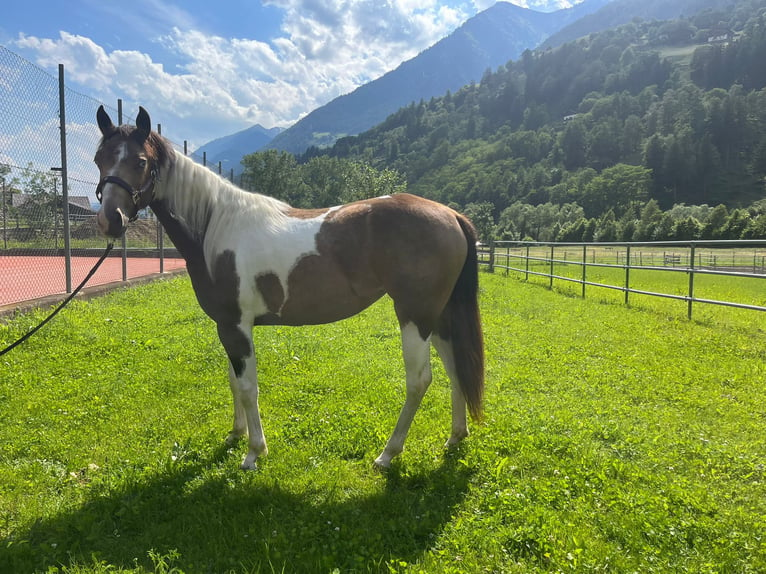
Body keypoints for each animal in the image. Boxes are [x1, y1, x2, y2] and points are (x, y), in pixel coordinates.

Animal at [93, 106, 484, 470]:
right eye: (100, 159)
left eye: (140, 161)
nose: (110, 220)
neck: (217, 226)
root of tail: (451, 215)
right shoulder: (227, 328)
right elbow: (234, 381)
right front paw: (235, 434)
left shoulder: (236, 326)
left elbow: (248, 387)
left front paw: (254, 452)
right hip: (438, 317)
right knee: (454, 368)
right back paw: (455, 436)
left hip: (414, 315)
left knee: (419, 380)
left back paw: (388, 454)